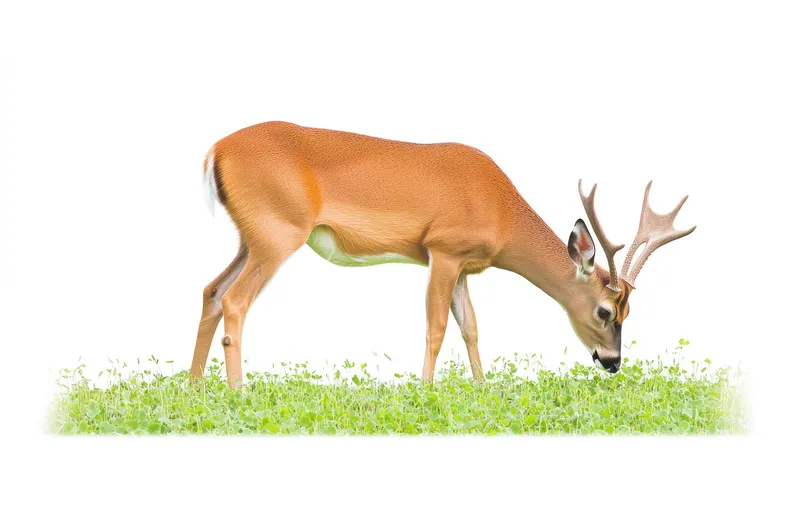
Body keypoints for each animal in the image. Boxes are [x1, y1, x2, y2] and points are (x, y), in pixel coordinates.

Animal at [191, 121, 695, 389]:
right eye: (606, 311)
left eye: (630, 311)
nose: (612, 362)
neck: (501, 209)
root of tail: (216, 150)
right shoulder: (443, 250)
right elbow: (436, 328)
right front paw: (426, 389)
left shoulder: (466, 266)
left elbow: (470, 326)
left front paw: (481, 387)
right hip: (278, 235)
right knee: (235, 300)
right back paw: (237, 391)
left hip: (250, 238)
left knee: (211, 291)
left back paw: (196, 386)